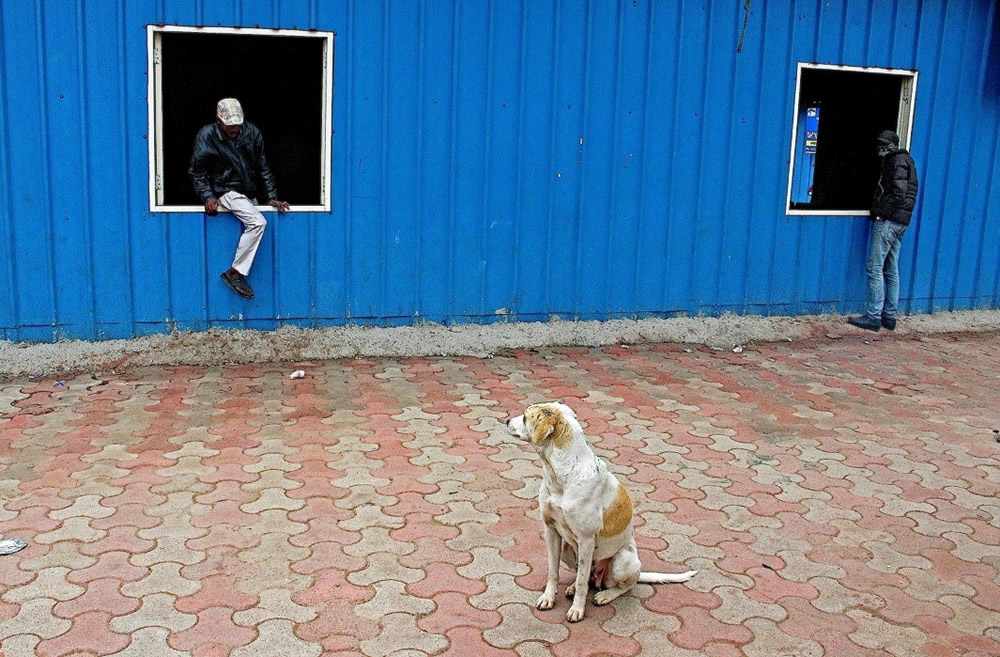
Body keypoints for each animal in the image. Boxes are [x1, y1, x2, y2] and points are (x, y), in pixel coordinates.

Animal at [508, 400, 696, 620]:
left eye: (524, 417)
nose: (506, 421)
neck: (561, 476)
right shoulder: (551, 531)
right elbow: (553, 572)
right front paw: (548, 598)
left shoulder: (586, 540)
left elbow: (582, 582)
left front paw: (577, 609)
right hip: (567, 551)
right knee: (585, 576)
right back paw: (572, 587)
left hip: (623, 561)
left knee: (620, 585)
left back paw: (605, 595)